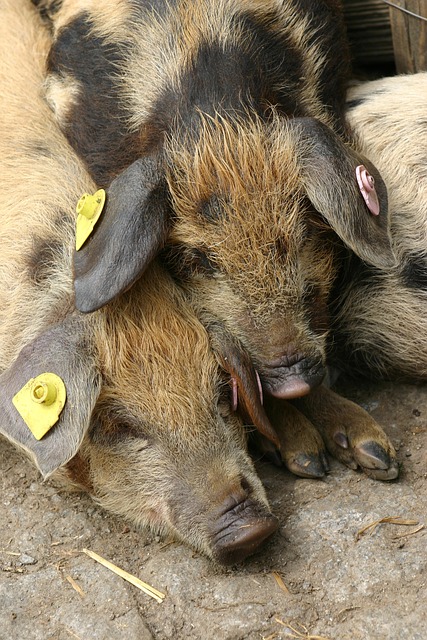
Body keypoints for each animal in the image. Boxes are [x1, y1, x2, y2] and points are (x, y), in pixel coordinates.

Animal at [32, 0, 398, 479]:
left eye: (303, 232)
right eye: (199, 259)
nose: (291, 378)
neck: (219, 121)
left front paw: (377, 456)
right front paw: (307, 459)